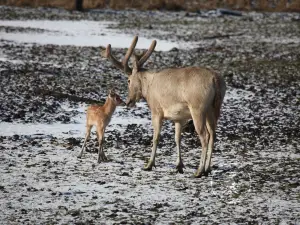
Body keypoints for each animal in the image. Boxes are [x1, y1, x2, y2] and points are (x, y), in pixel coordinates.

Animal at [102, 35, 226, 178]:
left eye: (128, 80)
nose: (128, 102)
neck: (149, 88)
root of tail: (215, 80)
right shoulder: (179, 117)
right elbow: (177, 138)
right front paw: (179, 165)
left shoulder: (156, 110)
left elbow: (156, 137)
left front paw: (149, 164)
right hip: (214, 108)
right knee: (213, 134)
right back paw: (208, 169)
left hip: (198, 108)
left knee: (204, 136)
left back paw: (199, 170)